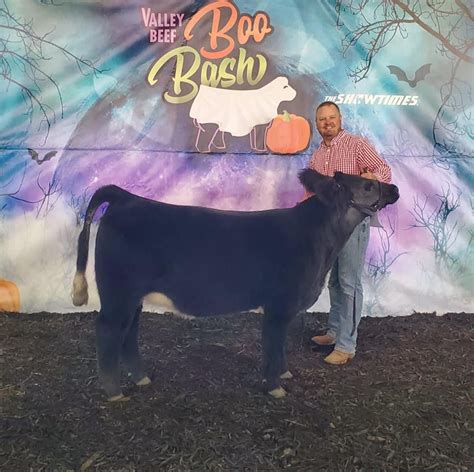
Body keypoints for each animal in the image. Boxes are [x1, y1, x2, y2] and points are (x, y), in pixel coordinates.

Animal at [72, 170, 399, 401]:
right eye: (368, 185)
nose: (394, 188)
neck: (318, 242)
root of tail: (127, 198)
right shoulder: (279, 306)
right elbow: (273, 345)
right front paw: (275, 387)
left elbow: (280, 346)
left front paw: (285, 374)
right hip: (118, 294)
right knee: (108, 330)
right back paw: (114, 392)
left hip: (132, 298)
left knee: (129, 332)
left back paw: (141, 378)